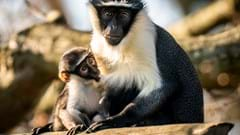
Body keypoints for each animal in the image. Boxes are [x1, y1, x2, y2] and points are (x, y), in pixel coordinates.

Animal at [86, 0, 202, 132]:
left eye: (123, 14)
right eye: (108, 13)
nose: (114, 27)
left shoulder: (146, 38)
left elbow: (163, 85)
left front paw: (116, 120)